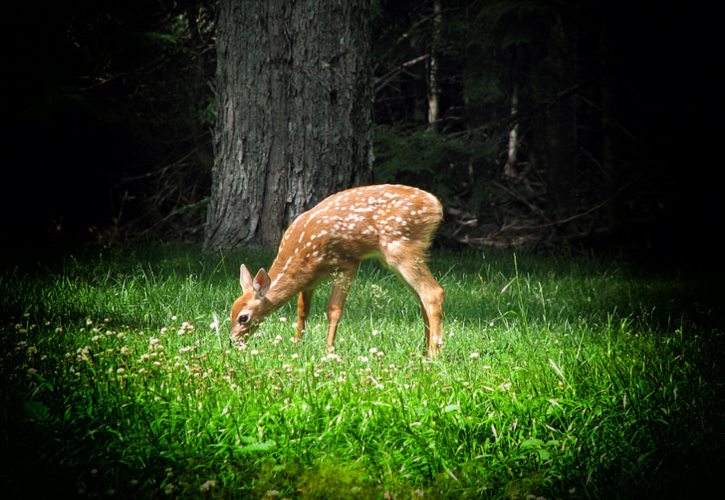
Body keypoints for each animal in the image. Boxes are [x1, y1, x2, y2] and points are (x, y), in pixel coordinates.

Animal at [229, 186, 444, 358]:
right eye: (231, 311)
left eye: (243, 318)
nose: (232, 341)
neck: (300, 256)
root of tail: (435, 204)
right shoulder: (310, 281)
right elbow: (302, 311)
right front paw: (297, 345)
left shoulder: (347, 263)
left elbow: (333, 310)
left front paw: (328, 351)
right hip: (396, 259)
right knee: (421, 298)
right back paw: (424, 351)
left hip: (402, 248)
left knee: (433, 292)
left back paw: (433, 354)